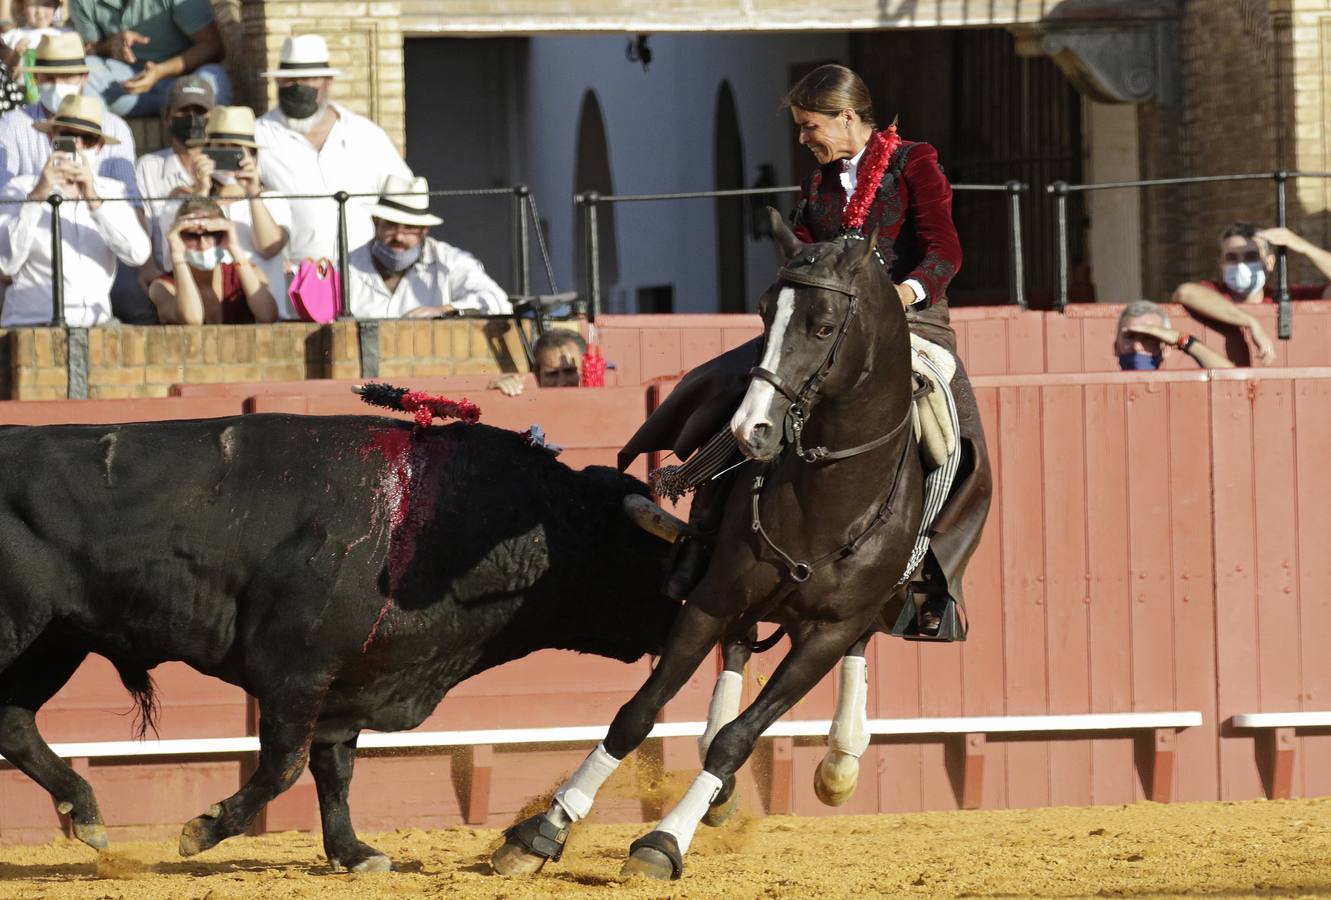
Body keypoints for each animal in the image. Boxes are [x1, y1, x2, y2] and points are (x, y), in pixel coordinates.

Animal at [0, 415, 676, 873]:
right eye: (645, 552)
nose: (688, 612)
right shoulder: (295, 671)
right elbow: (284, 764)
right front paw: (203, 829)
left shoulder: (347, 682)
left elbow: (335, 769)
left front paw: (352, 852)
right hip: (24, 633)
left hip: (53, 643)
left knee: (15, 722)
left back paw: (88, 816)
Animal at [495, 213, 931, 878]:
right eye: (762, 313)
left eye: (824, 326)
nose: (751, 430)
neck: (830, 496)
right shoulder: (714, 599)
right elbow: (637, 713)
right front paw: (546, 826)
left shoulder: (826, 633)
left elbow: (738, 739)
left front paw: (663, 841)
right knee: (738, 651)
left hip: (862, 612)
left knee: (853, 647)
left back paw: (839, 764)